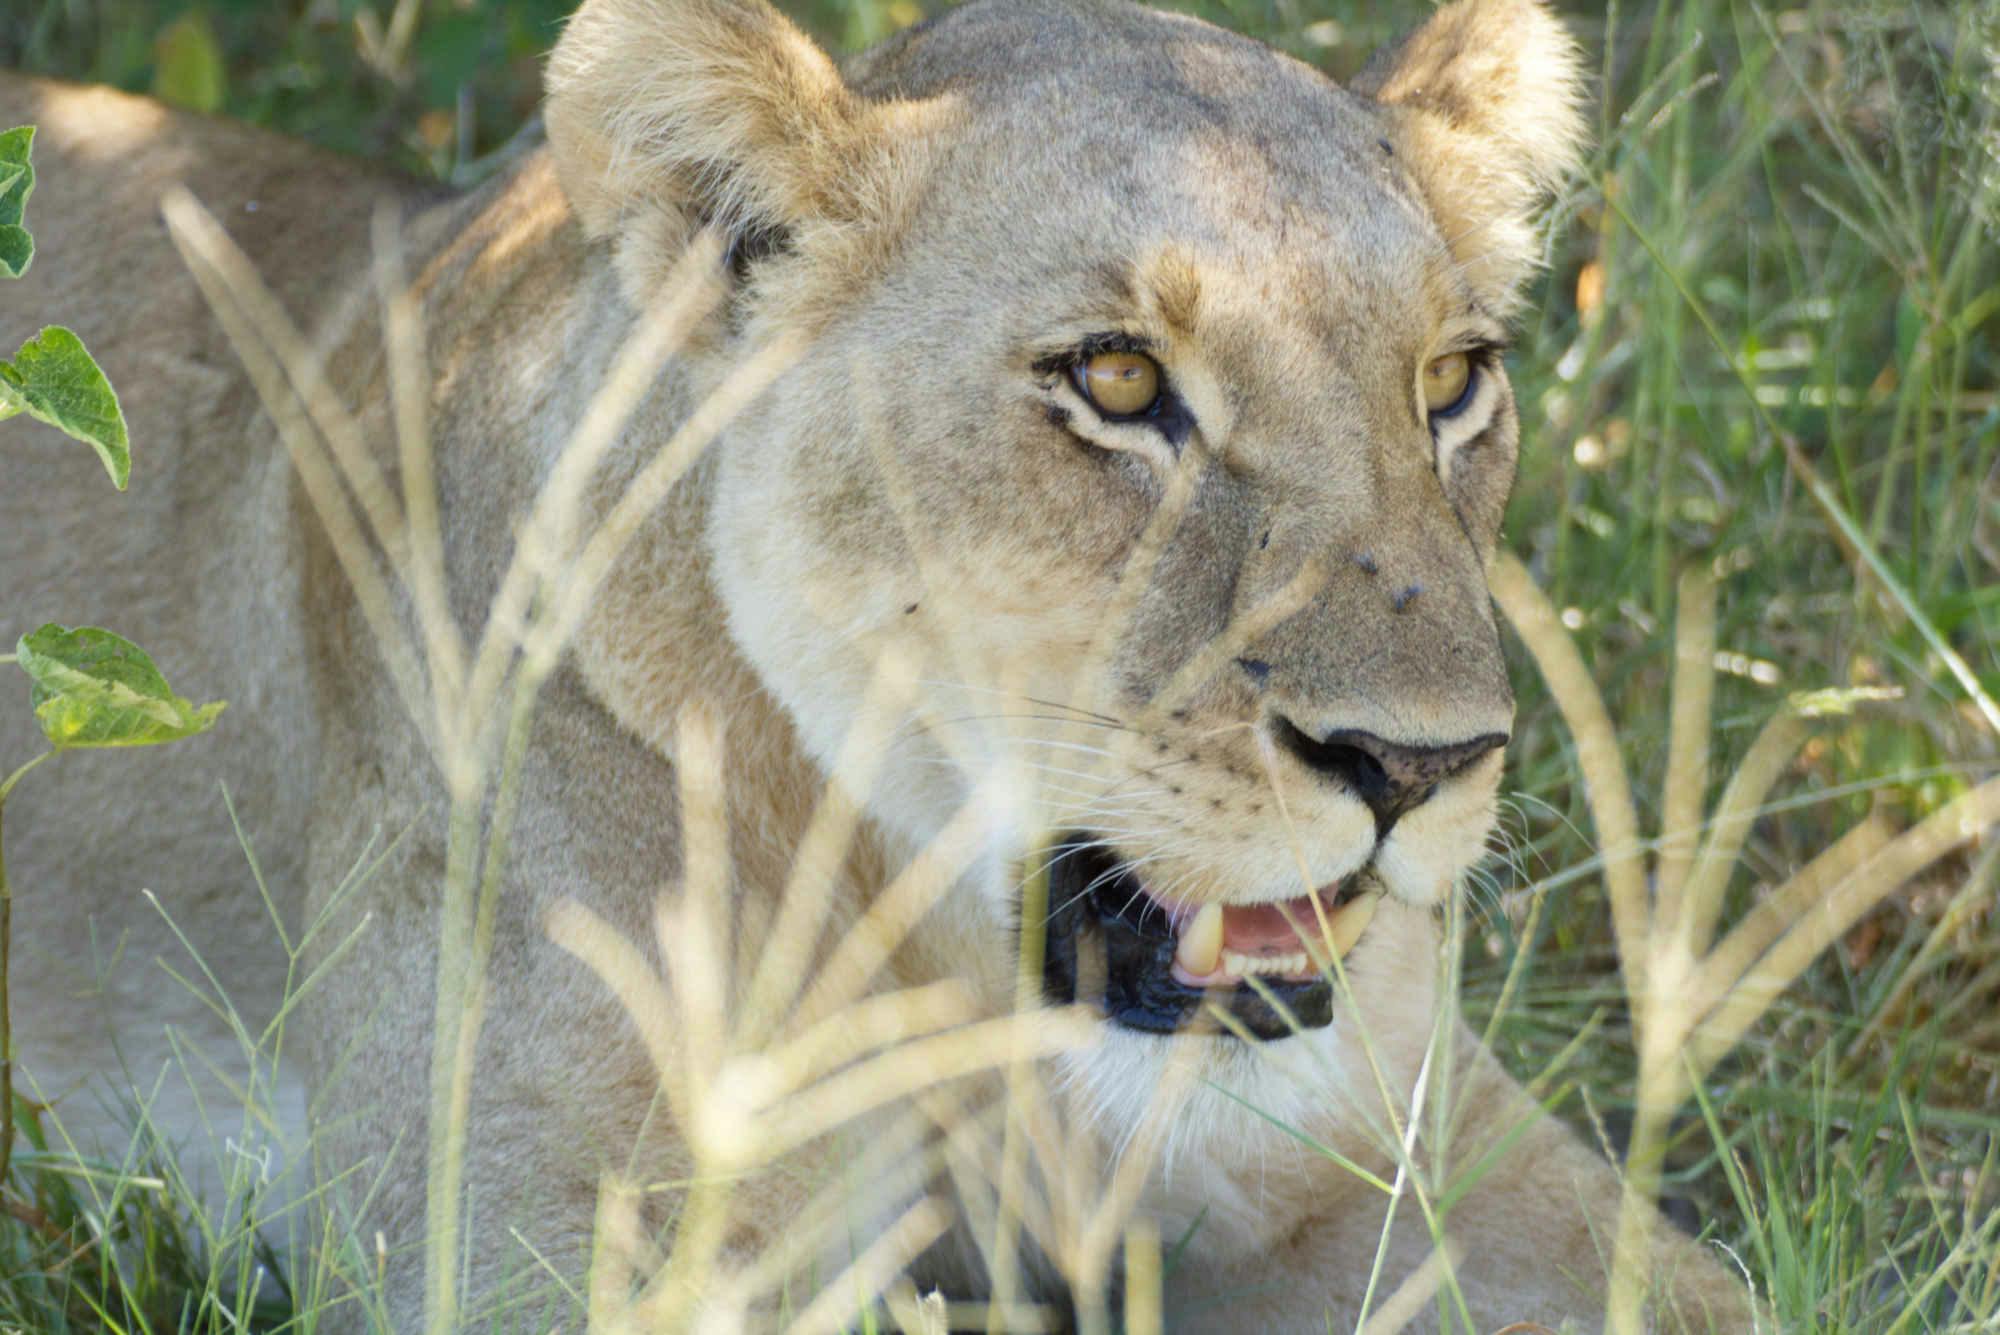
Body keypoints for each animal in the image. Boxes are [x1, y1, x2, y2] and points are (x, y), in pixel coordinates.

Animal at [0, 0, 1752, 1327]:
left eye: (1452, 382)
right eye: (1119, 380)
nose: (1419, 765)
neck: (958, 939)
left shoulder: (1398, 1151)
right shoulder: (530, 1257)